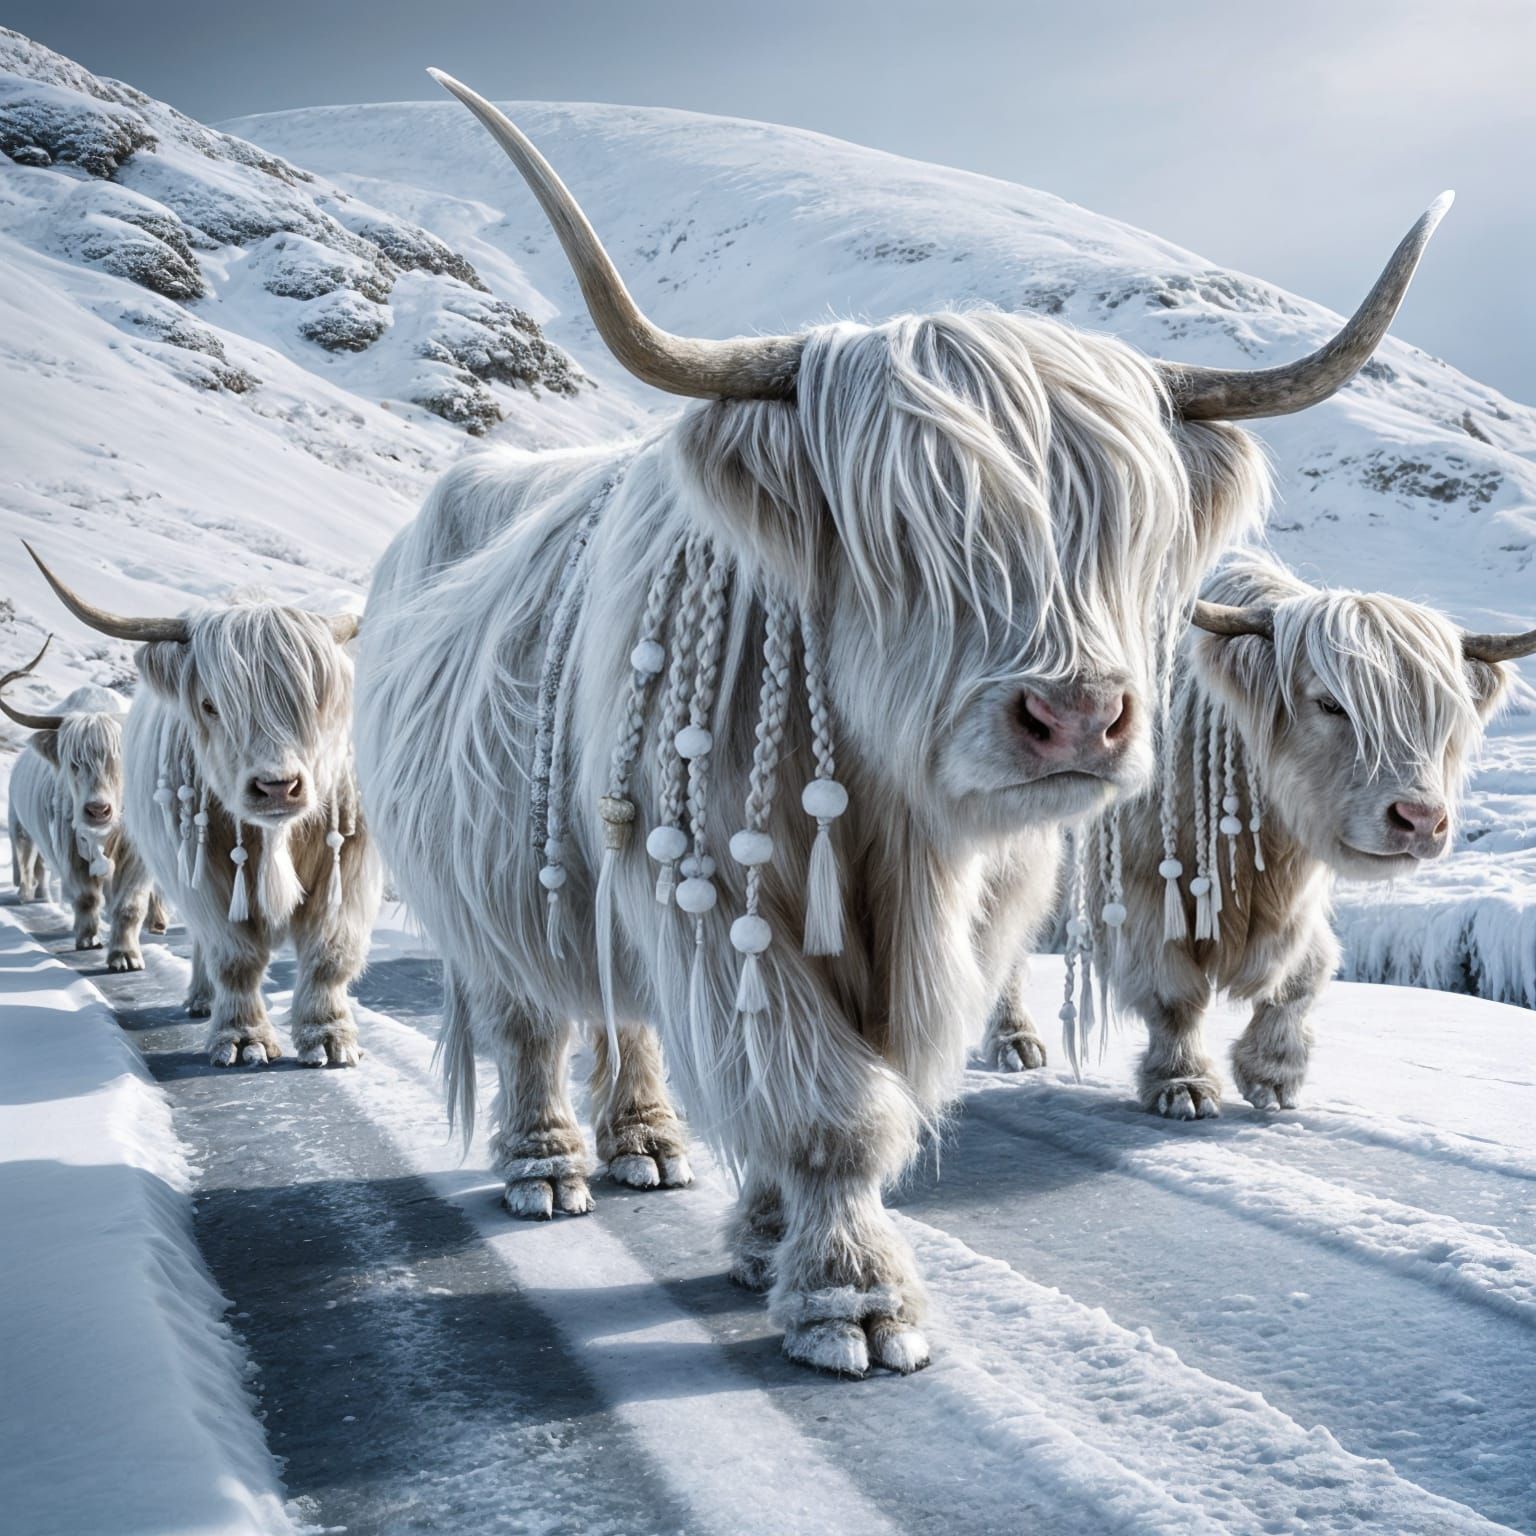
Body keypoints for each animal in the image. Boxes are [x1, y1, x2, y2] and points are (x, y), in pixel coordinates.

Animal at [25, 550, 380, 1069]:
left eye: (316, 701)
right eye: (211, 705)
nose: (278, 787)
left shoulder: (351, 863)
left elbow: (331, 951)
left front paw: (330, 1037)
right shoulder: (202, 875)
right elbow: (234, 956)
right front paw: (244, 1037)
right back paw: (202, 998)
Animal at [353, 70, 1447, 1376]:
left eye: (1127, 527)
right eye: (903, 531)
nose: (1076, 717)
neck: (890, 820)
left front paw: (766, 1241)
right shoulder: (721, 897)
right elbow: (824, 1102)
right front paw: (853, 1297)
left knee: (627, 1026)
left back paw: (650, 1144)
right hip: (492, 891)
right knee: (530, 1023)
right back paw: (549, 1167)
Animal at [985, 551, 1533, 1118]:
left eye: (1442, 716)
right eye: (1330, 703)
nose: (1420, 819)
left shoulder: (1298, 898)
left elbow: (1305, 972)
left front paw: (1273, 1073)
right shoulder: (1140, 888)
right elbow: (1174, 992)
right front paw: (1182, 1084)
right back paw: (1013, 1040)